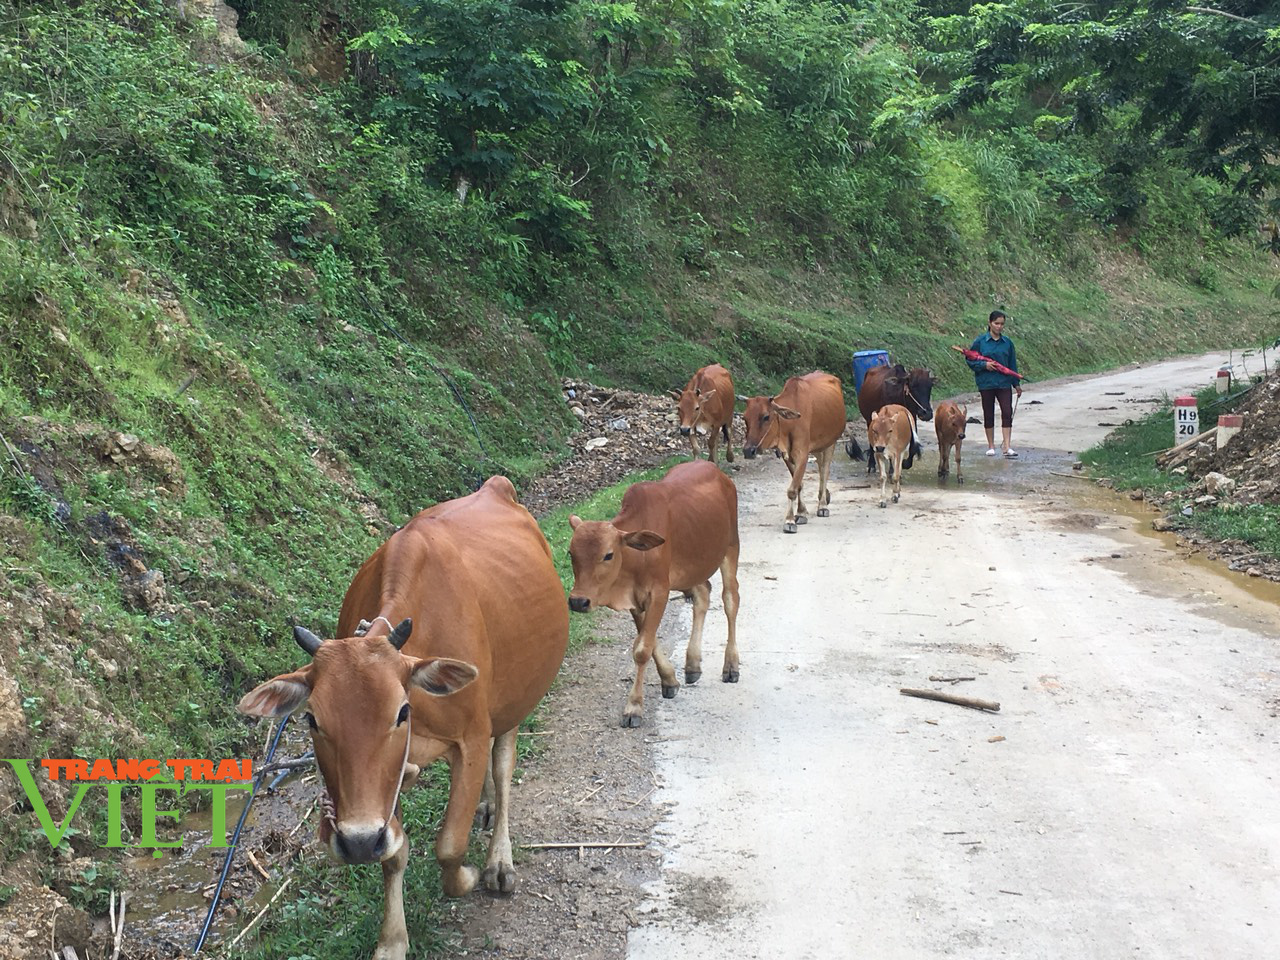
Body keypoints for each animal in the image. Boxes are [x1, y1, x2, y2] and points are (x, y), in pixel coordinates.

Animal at [238, 478, 568, 960]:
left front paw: (469, 875)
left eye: (402, 711)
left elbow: (450, 844)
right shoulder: (380, 789)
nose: (356, 842)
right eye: (312, 720)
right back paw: (485, 805)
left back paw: (498, 860)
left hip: (516, 698)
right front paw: (392, 940)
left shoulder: (470, 737)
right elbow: (393, 852)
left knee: (504, 766)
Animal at [568, 460, 742, 727]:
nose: (578, 601)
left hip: (731, 547)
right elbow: (648, 641)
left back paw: (731, 665)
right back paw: (692, 664)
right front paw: (669, 680)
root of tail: (717, 472)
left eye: (608, 555)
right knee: (703, 594)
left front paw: (634, 707)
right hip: (694, 567)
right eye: (571, 553)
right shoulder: (635, 600)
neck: (635, 556)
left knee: (731, 600)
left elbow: (642, 649)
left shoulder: (659, 592)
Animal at [742, 371, 849, 535]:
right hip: (818, 446)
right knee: (820, 467)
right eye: (745, 418)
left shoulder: (802, 454)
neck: (789, 424)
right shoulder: (787, 456)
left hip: (831, 442)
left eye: (766, 417)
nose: (748, 451)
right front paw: (801, 512)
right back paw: (823, 496)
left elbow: (792, 489)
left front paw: (790, 521)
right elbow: (798, 484)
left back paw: (823, 505)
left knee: (824, 472)